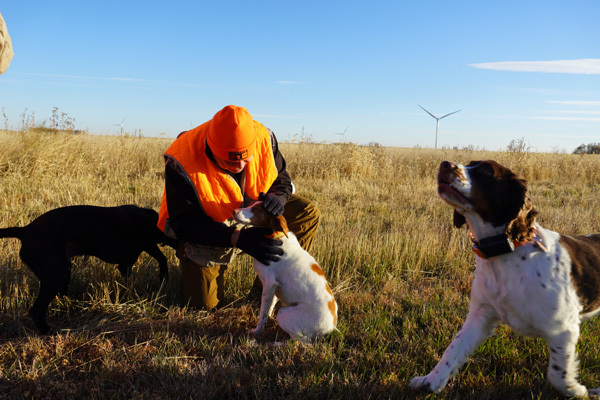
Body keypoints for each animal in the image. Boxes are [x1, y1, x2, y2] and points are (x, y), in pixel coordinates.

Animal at [0, 205, 177, 332]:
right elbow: (161, 259)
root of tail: (25, 230)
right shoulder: (141, 248)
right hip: (57, 273)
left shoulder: (128, 262)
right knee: (36, 310)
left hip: (64, 270)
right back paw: (50, 331)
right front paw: (164, 277)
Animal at [233, 202, 338, 342]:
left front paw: (257, 331)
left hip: (284, 313)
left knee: (301, 340)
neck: (274, 238)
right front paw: (268, 320)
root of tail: (331, 327)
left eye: (256, 209)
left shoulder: (269, 283)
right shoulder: (274, 287)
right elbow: (269, 307)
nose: (234, 211)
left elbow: (263, 312)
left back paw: (276, 344)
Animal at [412, 161, 600, 398]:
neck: (505, 252)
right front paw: (429, 381)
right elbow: (452, 351)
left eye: (485, 170)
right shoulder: (480, 315)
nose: (445, 164)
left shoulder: (563, 329)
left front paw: (580, 390)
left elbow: (558, 375)